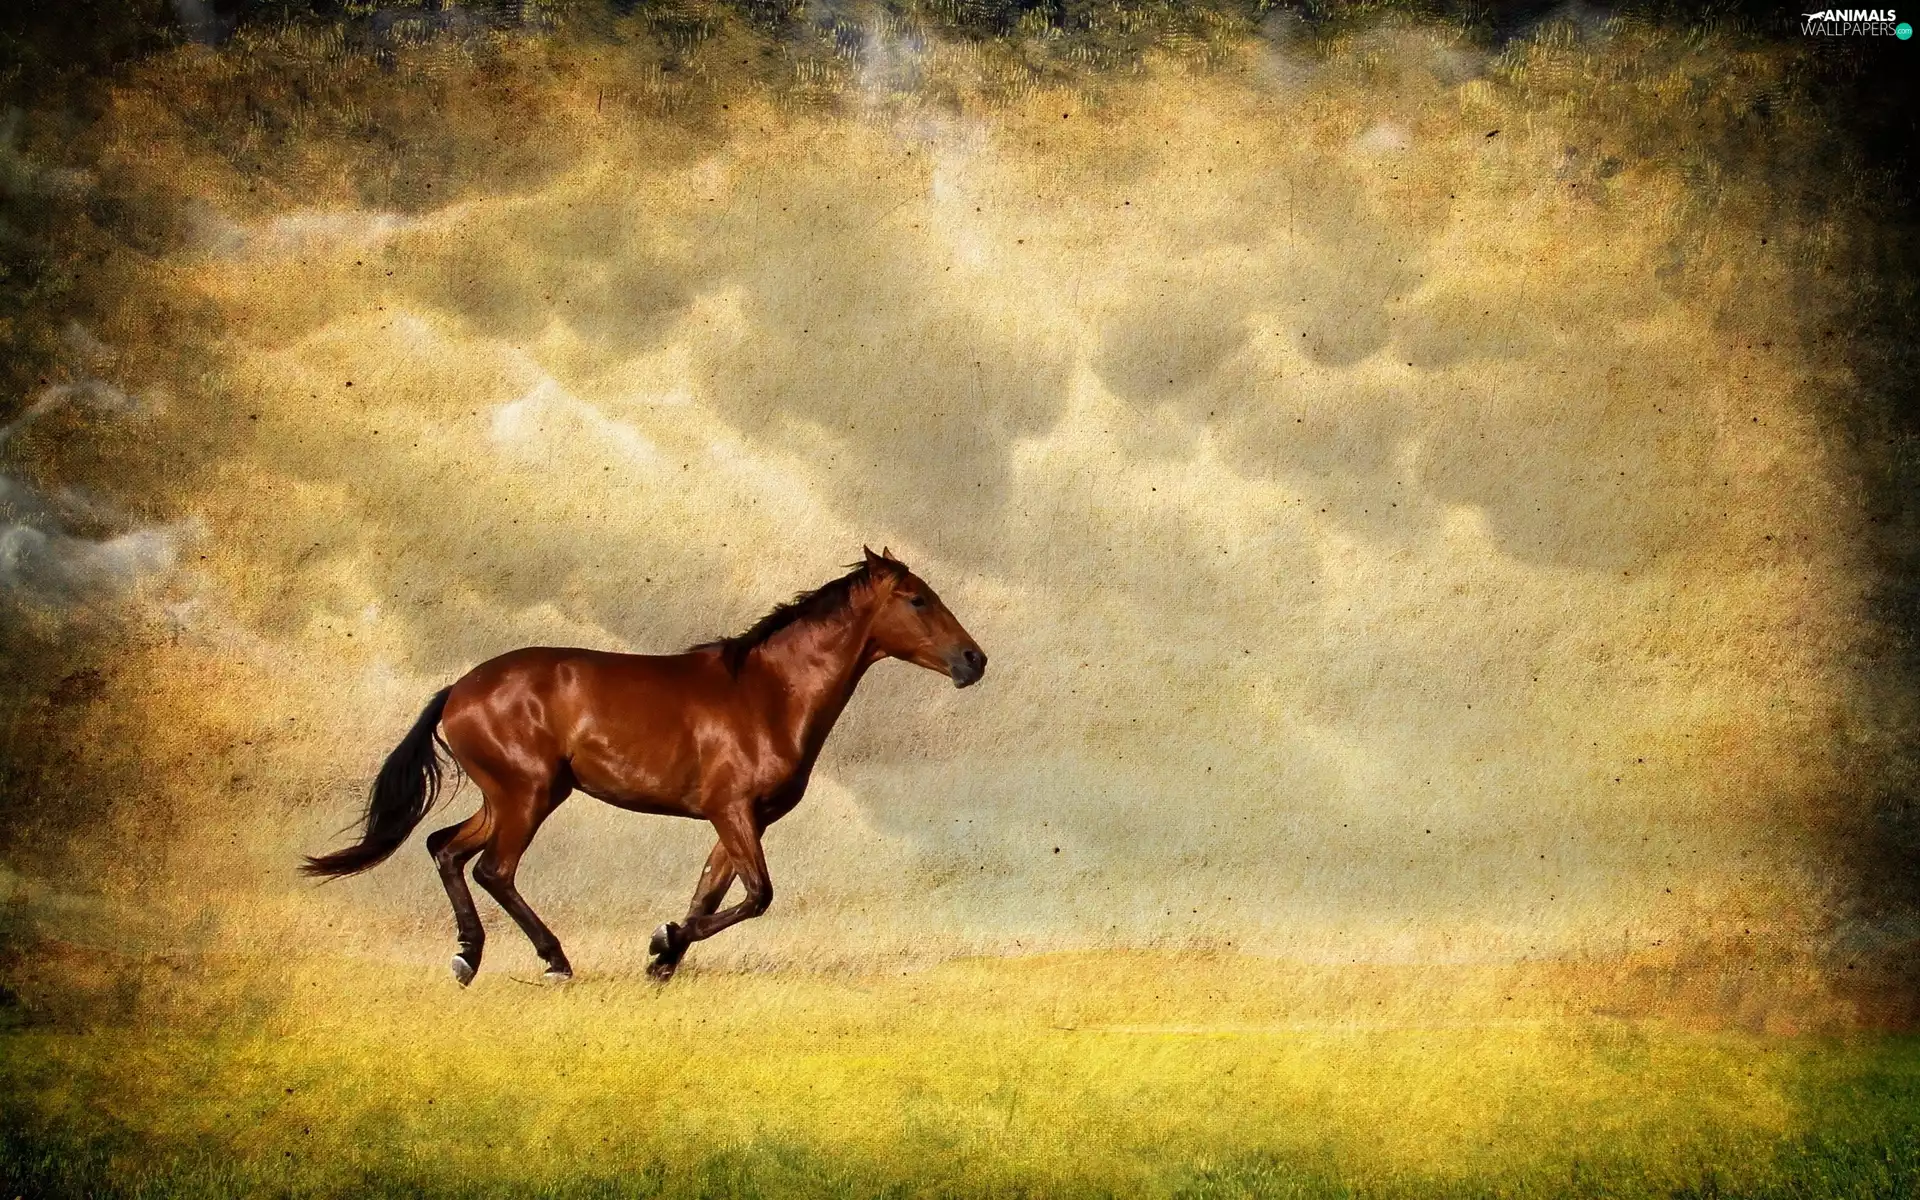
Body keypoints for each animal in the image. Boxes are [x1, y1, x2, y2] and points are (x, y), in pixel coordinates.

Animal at [302, 547, 987, 985]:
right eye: (917, 600)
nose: (974, 660)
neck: (767, 694)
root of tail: (457, 692)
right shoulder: (732, 811)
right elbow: (757, 896)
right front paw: (661, 943)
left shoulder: (741, 821)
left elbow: (709, 896)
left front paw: (662, 959)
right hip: (528, 795)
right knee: (493, 869)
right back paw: (554, 962)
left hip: (510, 796)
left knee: (445, 849)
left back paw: (468, 959)